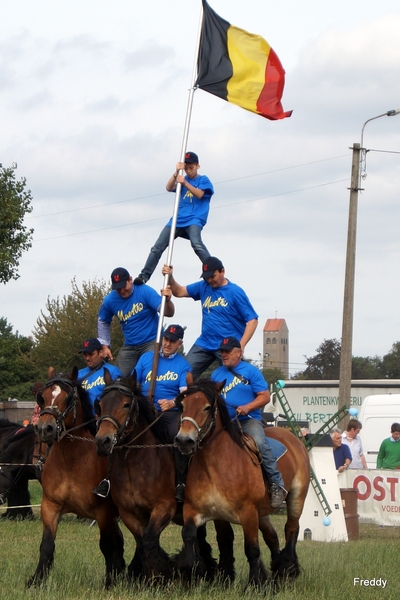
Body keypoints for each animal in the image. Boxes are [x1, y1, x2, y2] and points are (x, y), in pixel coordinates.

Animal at [26, 368, 125, 588]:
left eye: (68, 398)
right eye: (43, 397)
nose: (45, 428)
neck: (71, 462)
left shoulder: (103, 513)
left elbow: (106, 545)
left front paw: (109, 582)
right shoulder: (50, 506)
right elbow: (47, 544)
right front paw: (36, 580)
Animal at [94, 372, 217, 584]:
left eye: (126, 404)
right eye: (100, 405)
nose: (103, 441)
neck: (134, 464)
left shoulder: (164, 507)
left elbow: (150, 539)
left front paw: (160, 575)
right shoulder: (129, 513)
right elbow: (142, 541)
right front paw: (148, 575)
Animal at [174, 380, 310, 584]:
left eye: (207, 407)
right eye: (182, 405)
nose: (184, 440)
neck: (216, 465)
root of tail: (294, 439)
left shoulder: (248, 514)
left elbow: (252, 550)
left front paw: (255, 583)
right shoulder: (198, 510)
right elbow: (191, 537)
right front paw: (191, 575)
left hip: (296, 498)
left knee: (291, 529)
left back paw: (287, 569)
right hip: (263, 513)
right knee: (272, 537)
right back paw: (277, 572)